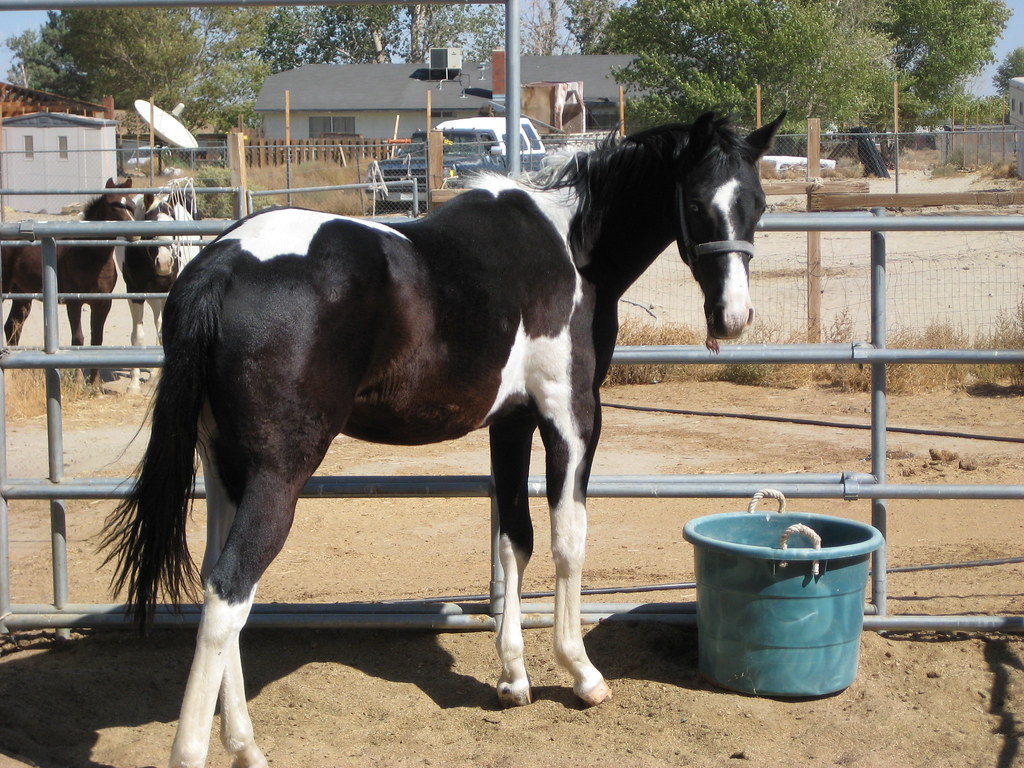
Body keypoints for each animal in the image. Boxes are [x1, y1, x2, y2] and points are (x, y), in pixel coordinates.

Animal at [2, 177, 136, 384]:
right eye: (113, 206)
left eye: (132, 206)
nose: (135, 233)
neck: (89, 256)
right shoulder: (74, 302)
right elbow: (78, 339)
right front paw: (79, 381)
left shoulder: (103, 303)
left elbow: (97, 339)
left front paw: (95, 383)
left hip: (22, 294)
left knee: (12, 326)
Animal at [119, 182, 201, 391]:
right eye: (150, 225)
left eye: (173, 225)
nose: (164, 263)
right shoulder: (135, 292)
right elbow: (138, 336)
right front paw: (134, 383)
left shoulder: (167, 291)